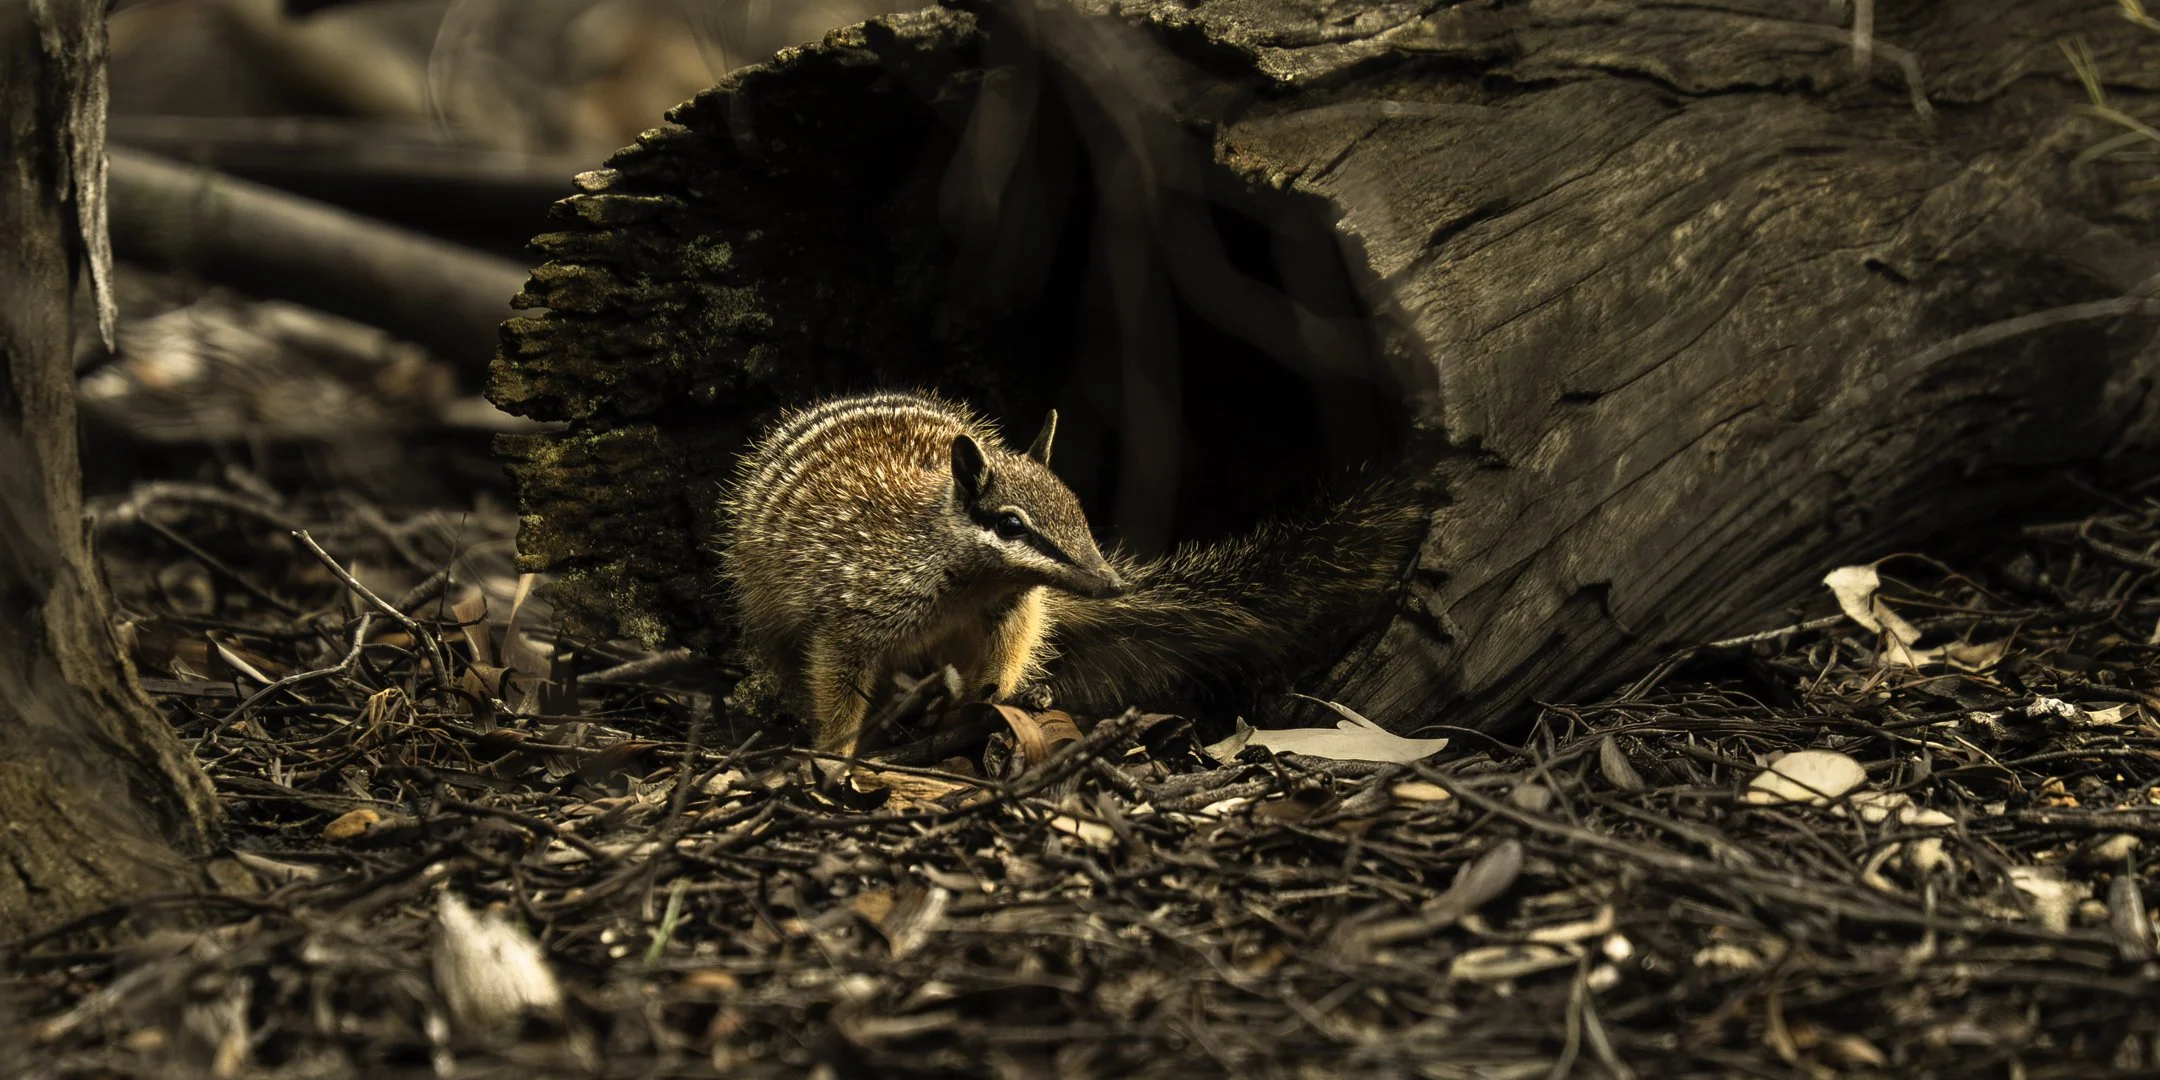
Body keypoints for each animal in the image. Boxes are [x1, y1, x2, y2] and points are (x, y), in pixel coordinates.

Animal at [718, 390, 1425, 753]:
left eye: (1079, 506)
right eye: (1011, 525)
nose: (1110, 583)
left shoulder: (1013, 607)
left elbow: (1011, 648)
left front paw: (998, 692)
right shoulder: (856, 617)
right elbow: (837, 684)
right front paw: (836, 752)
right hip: (767, 613)